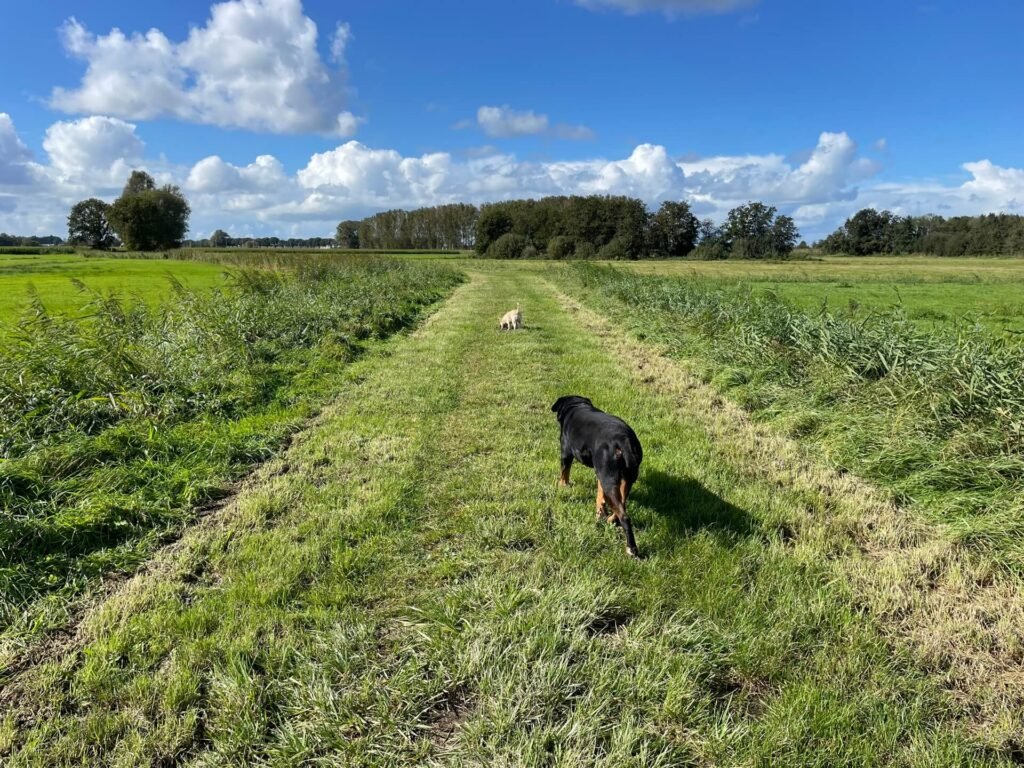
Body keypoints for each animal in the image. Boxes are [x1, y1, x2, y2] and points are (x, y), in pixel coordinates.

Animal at [552, 399, 638, 557]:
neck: (576, 406)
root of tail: (624, 440)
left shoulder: (566, 451)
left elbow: (564, 473)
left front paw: (562, 486)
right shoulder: (601, 474)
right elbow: (600, 495)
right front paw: (600, 510)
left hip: (609, 479)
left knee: (625, 516)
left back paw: (631, 548)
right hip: (624, 480)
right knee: (621, 505)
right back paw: (610, 519)